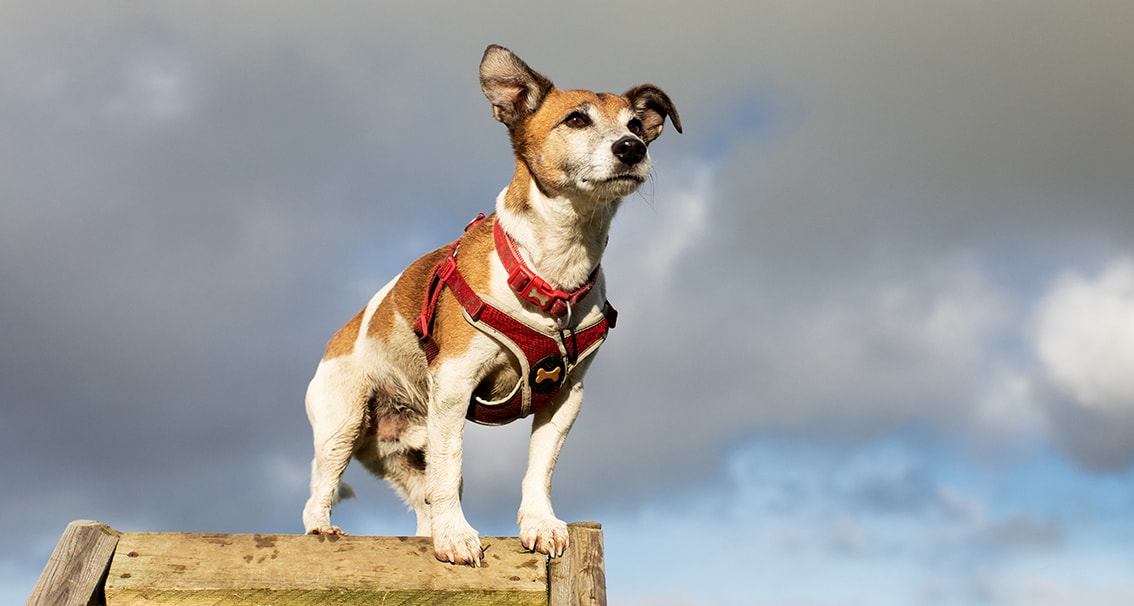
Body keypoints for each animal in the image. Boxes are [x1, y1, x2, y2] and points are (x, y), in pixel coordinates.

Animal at [297, 45, 680, 567]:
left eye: (636, 125)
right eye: (576, 119)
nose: (632, 148)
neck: (550, 272)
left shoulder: (565, 396)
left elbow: (540, 467)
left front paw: (539, 523)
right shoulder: (455, 384)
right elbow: (453, 469)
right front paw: (457, 537)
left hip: (408, 449)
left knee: (424, 498)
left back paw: (428, 532)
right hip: (345, 422)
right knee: (326, 486)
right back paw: (323, 528)